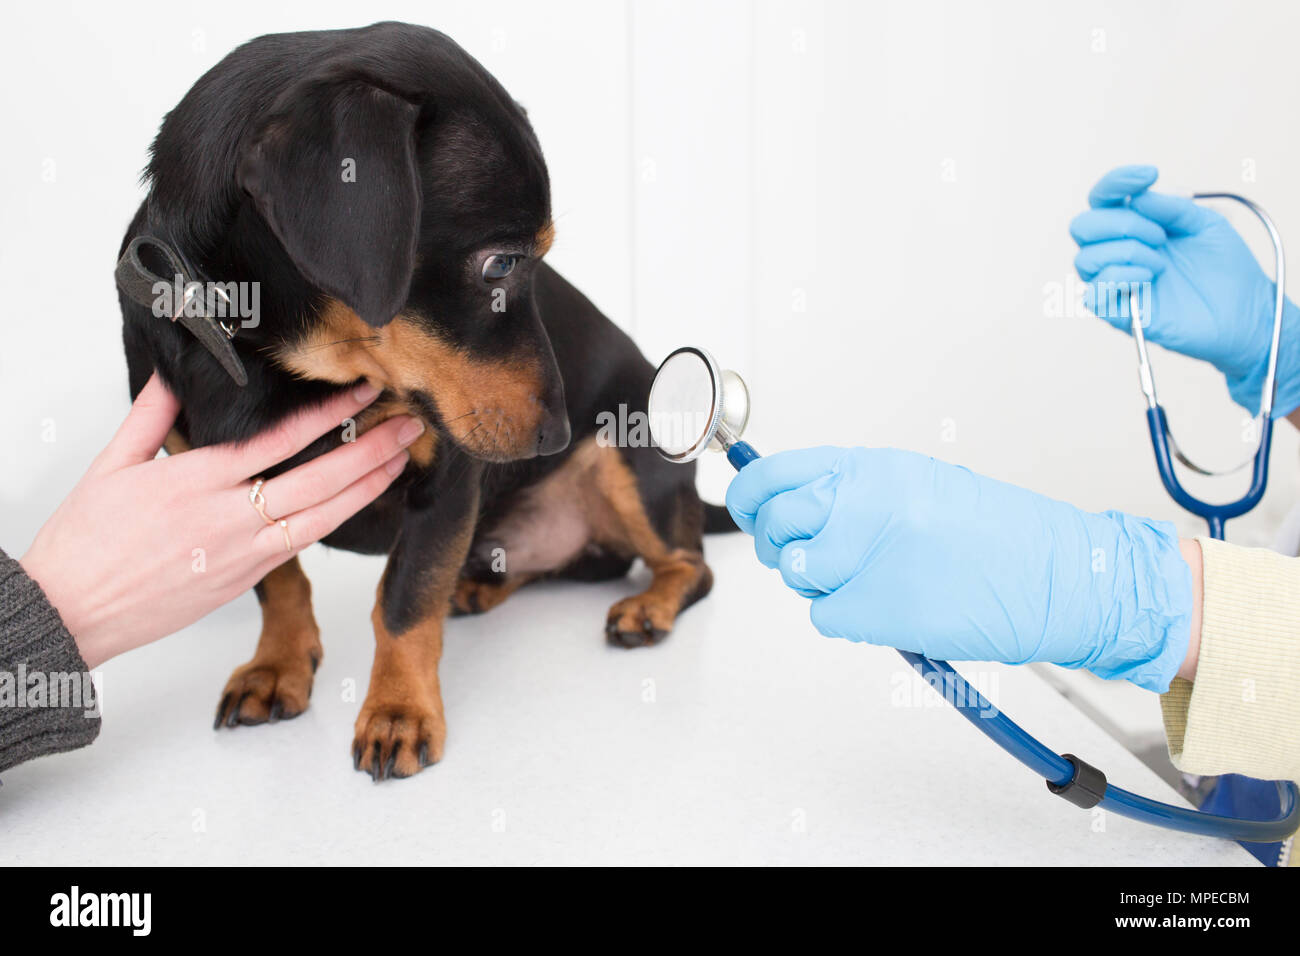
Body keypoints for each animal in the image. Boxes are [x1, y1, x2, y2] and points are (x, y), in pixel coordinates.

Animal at [116, 22, 738, 780]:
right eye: (500, 263)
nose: (558, 435)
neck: (285, 362)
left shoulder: (446, 476)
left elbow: (404, 601)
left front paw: (398, 713)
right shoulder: (236, 496)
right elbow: (281, 583)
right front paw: (279, 667)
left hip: (628, 460)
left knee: (690, 566)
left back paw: (647, 607)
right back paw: (480, 587)